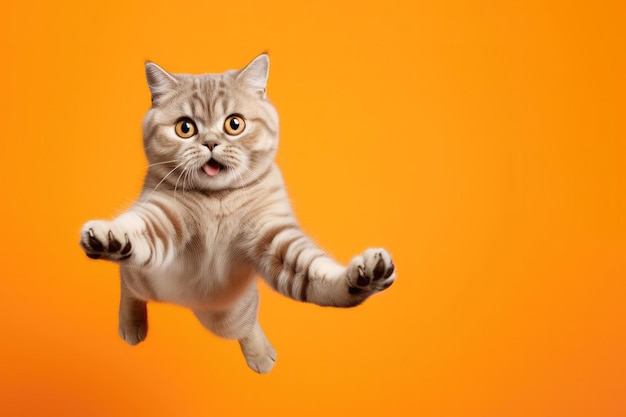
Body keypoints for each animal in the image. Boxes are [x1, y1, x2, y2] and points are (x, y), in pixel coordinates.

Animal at [79, 53, 394, 372]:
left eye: (234, 124)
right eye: (185, 128)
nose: (210, 142)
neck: (219, 199)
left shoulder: (274, 239)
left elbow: (318, 274)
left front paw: (364, 277)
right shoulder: (164, 216)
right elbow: (137, 231)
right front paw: (110, 238)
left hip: (227, 315)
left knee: (245, 326)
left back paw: (261, 354)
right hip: (146, 280)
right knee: (128, 280)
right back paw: (131, 323)